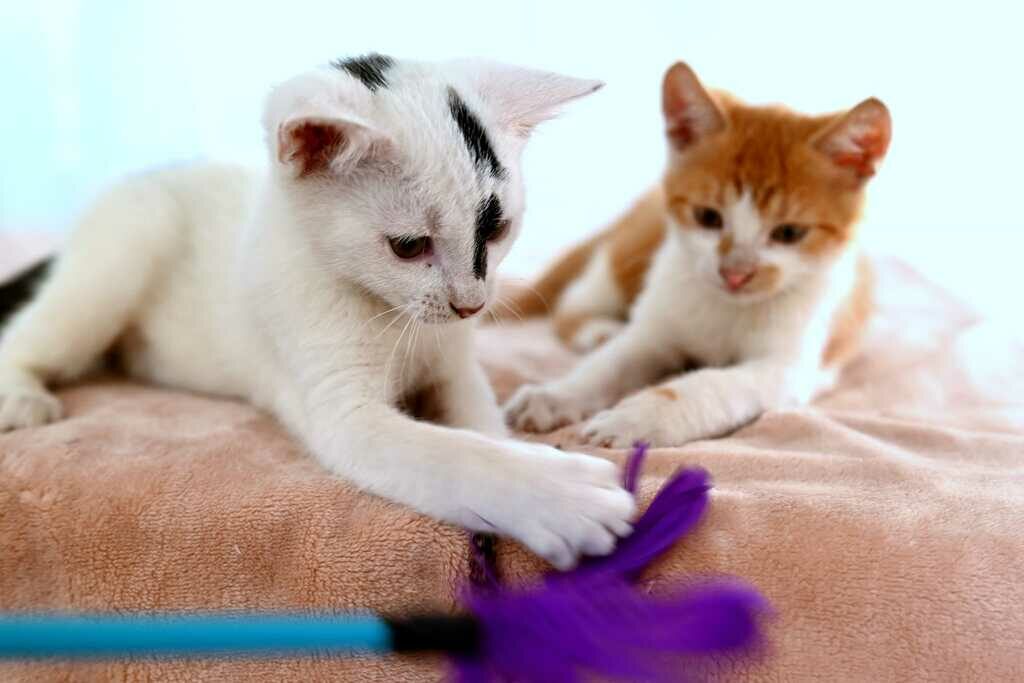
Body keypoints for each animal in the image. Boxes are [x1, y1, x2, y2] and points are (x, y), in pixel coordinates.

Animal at [0, 55, 635, 570]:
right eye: (409, 246)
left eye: (497, 230)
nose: (470, 304)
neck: (390, 316)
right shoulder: (341, 412)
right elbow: (453, 452)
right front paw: (560, 496)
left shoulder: (456, 368)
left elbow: (480, 427)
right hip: (123, 253)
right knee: (31, 336)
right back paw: (23, 397)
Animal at [503, 61, 890, 448]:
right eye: (708, 217)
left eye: (789, 233)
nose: (735, 274)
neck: (728, 308)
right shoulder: (655, 327)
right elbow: (611, 363)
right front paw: (555, 395)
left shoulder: (786, 368)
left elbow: (712, 386)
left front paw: (637, 417)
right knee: (574, 300)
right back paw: (598, 332)